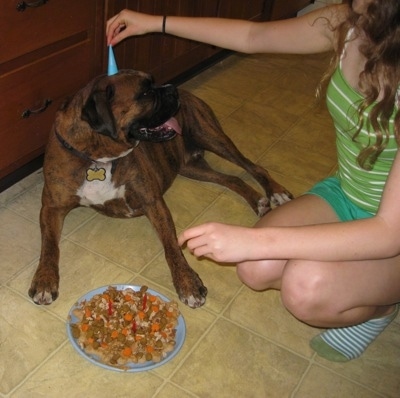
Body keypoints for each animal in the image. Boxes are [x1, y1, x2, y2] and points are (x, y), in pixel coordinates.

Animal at [28, 69, 290, 308]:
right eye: (145, 92)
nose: (172, 88)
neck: (97, 157)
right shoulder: (51, 208)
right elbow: (49, 246)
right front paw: (44, 281)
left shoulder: (152, 202)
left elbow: (171, 246)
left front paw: (188, 283)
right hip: (190, 167)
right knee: (232, 179)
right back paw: (258, 201)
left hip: (212, 137)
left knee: (253, 166)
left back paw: (275, 193)